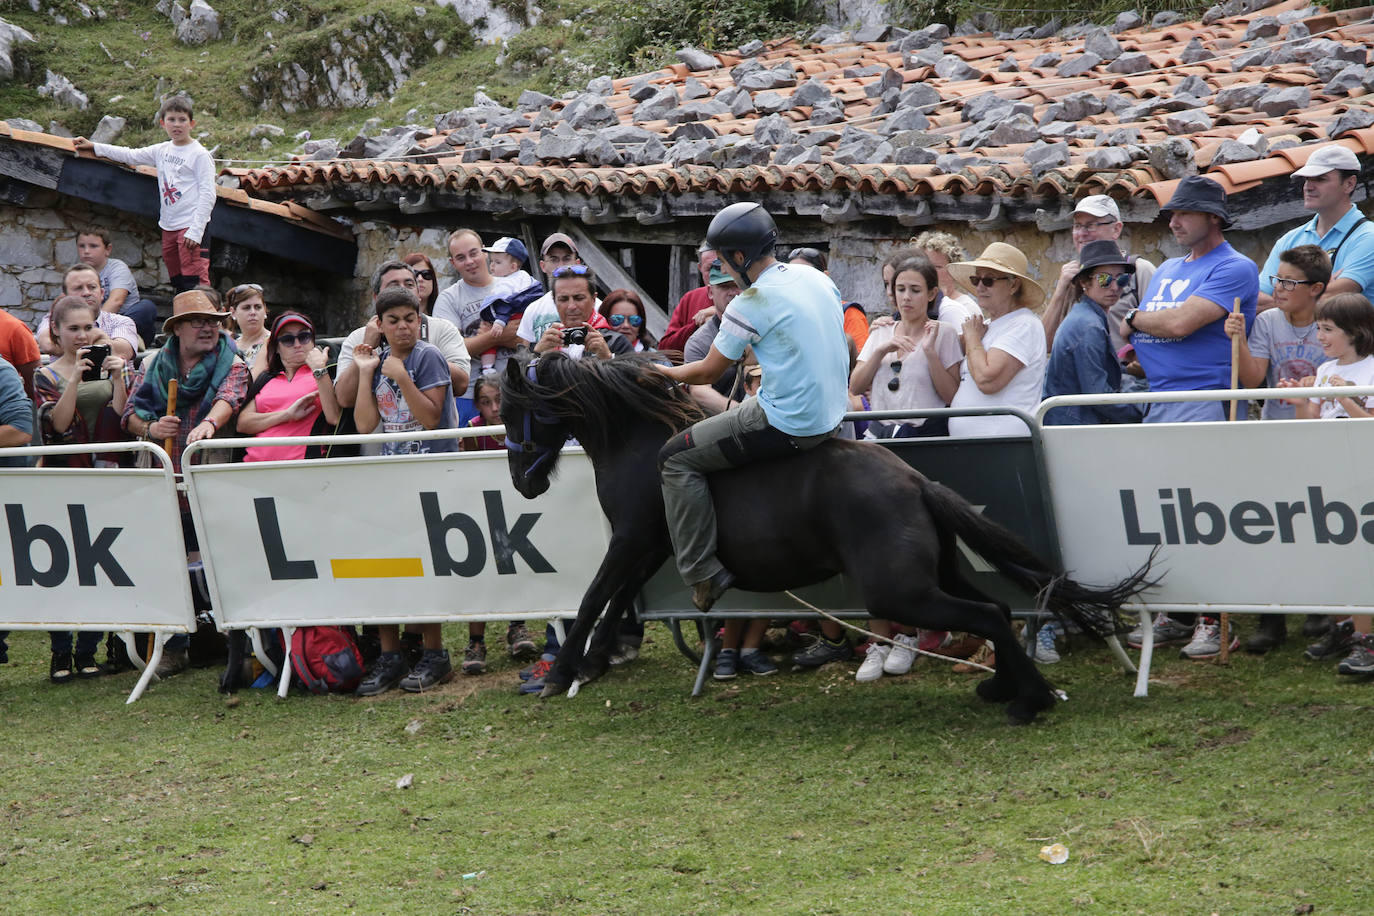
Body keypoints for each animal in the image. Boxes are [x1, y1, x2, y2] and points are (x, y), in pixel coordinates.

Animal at [500, 354, 1154, 725]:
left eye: (509, 409)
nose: (523, 483)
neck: (641, 441)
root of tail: (914, 480)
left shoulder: (633, 540)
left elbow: (594, 596)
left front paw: (564, 671)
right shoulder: (651, 546)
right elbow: (617, 599)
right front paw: (591, 664)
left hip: (898, 591)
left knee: (987, 616)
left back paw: (1030, 700)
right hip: (933, 574)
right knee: (994, 606)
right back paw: (1007, 686)